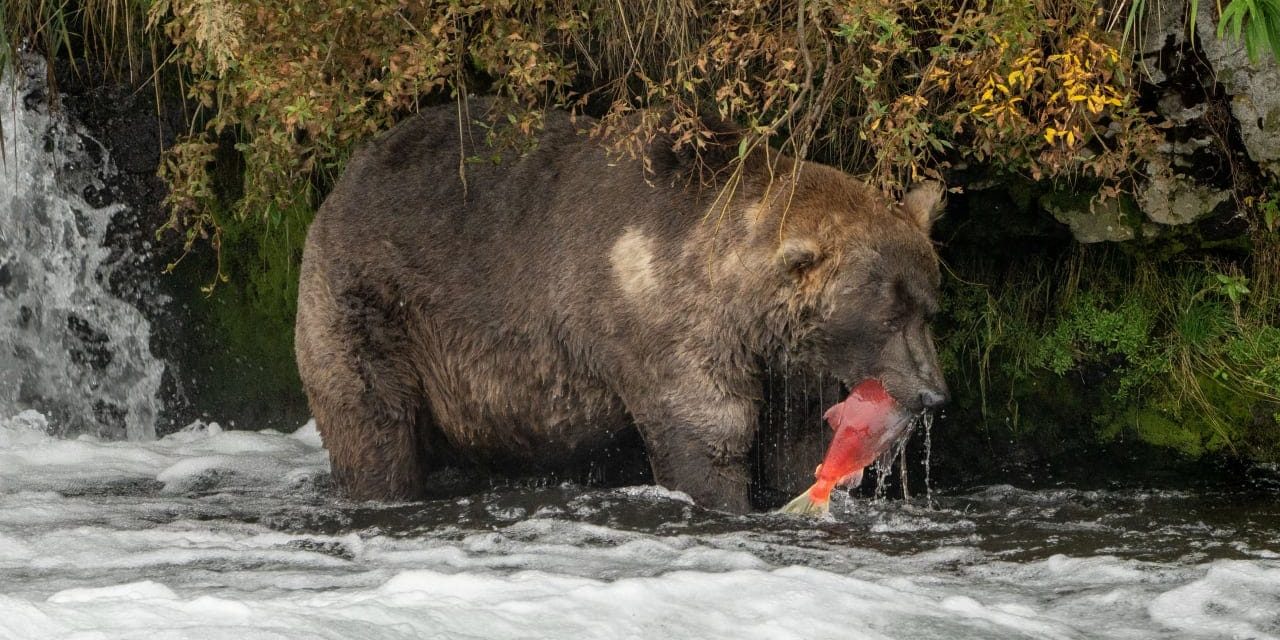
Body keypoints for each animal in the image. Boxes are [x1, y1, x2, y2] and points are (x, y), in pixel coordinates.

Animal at [294, 98, 948, 513]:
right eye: (888, 315)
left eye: (927, 308)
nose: (933, 393)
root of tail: (346, 176)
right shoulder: (665, 326)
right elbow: (709, 435)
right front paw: (727, 500)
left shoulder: (785, 360)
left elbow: (795, 439)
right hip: (373, 304)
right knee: (373, 423)